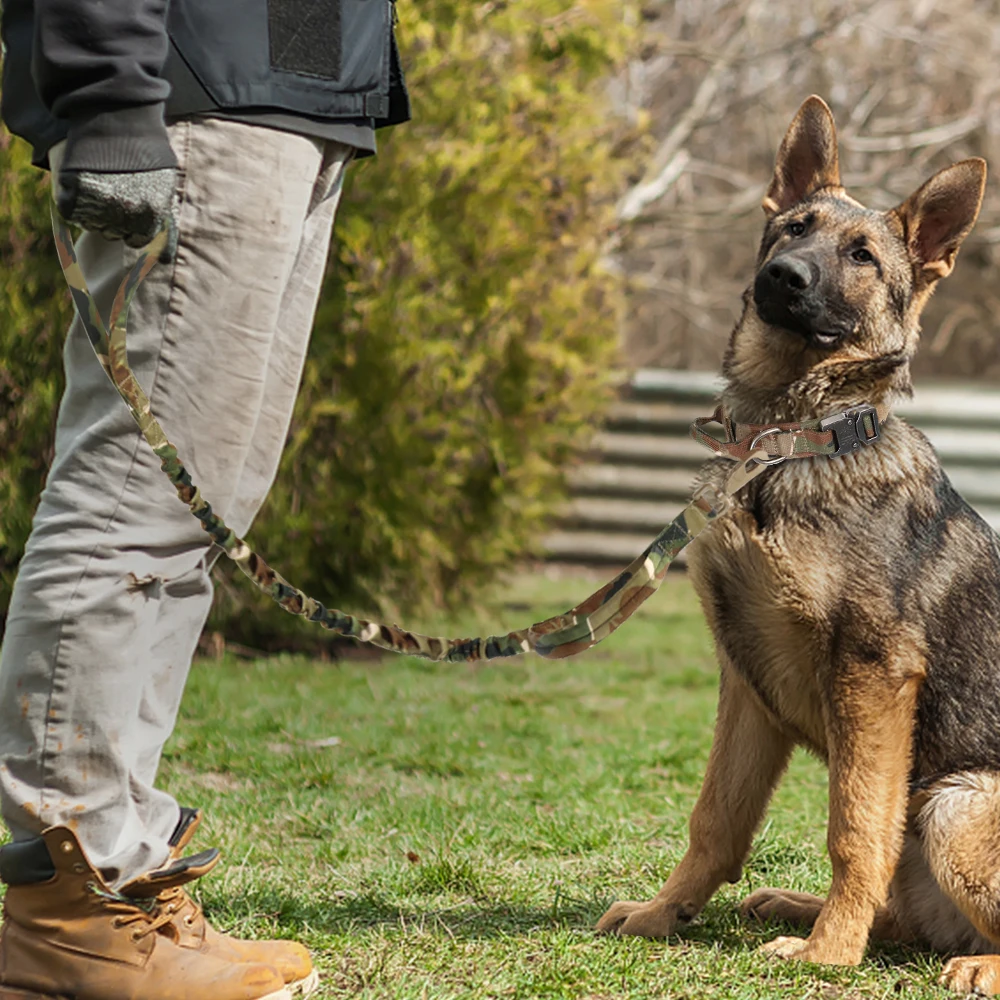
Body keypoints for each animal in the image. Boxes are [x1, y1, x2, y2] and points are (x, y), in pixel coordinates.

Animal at [592, 97, 1000, 996]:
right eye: (792, 228)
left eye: (862, 256)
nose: (784, 277)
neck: (790, 442)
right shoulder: (746, 680)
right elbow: (715, 819)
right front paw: (662, 916)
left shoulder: (873, 676)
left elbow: (855, 826)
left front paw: (831, 954)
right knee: (904, 917)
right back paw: (788, 906)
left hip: (953, 803)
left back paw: (956, 959)